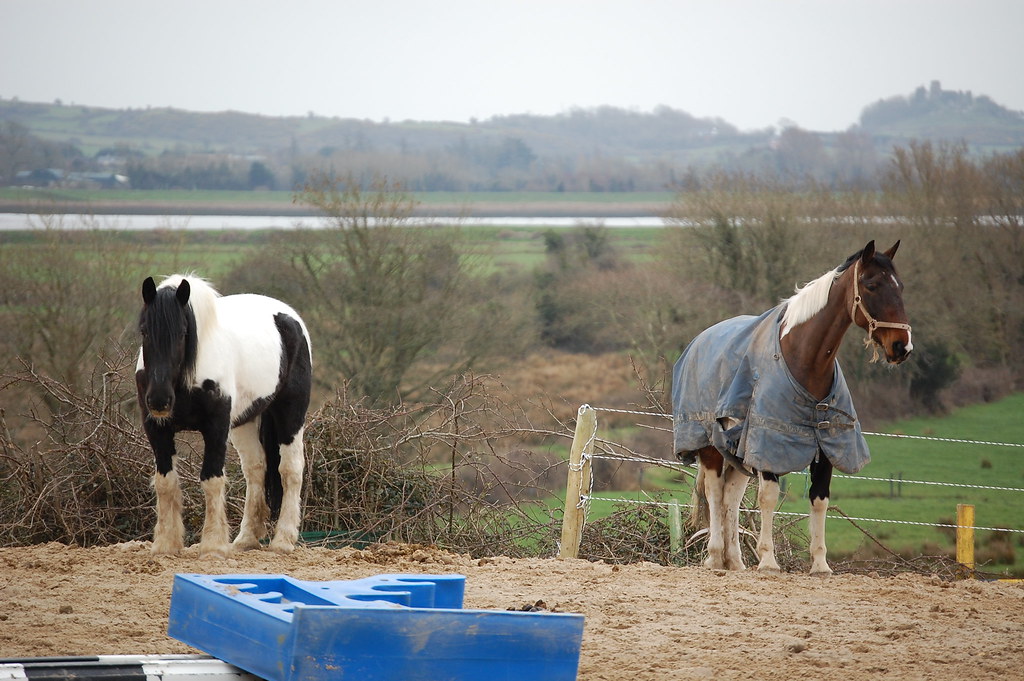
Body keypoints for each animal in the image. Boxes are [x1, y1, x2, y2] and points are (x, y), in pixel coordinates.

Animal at [135, 274, 313, 557]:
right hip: (244, 421)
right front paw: (165, 545)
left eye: (183, 333)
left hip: (291, 414)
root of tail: (290, 317)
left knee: (290, 469)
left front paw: (213, 545)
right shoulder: (157, 429)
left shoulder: (216, 427)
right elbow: (165, 481)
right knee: (256, 468)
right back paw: (246, 539)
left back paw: (283, 541)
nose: (160, 400)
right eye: (144, 331)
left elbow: (212, 479)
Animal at [672, 240, 911, 574]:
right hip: (710, 447)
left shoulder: (827, 445)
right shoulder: (770, 444)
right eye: (872, 285)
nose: (902, 346)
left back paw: (734, 561)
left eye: (900, 286)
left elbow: (819, 499)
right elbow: (769, 498)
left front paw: (820, 564)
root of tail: (699, 340)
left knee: (730, 498)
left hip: (737, 453)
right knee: (715, 492)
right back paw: (714, 556)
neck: (803, 360)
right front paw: (768, 560)